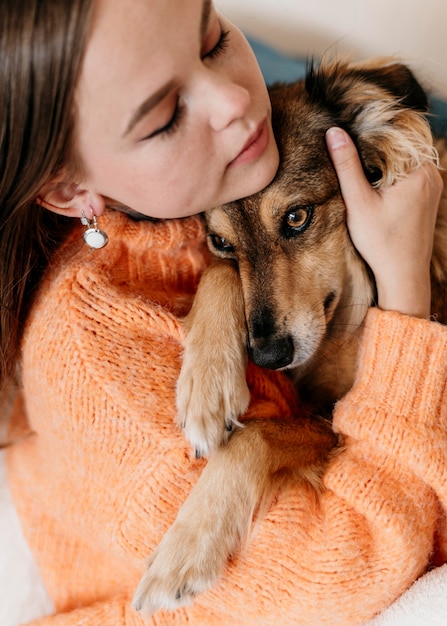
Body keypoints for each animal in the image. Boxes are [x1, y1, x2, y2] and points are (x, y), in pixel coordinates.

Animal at [133, 59, 447, 616]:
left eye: (297, 217)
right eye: (221, 242)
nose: (268, 355)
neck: (348, 312)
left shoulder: (335, 422)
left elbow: (255, 436)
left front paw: (185, 551)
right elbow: (218, 277)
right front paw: (207, 388)